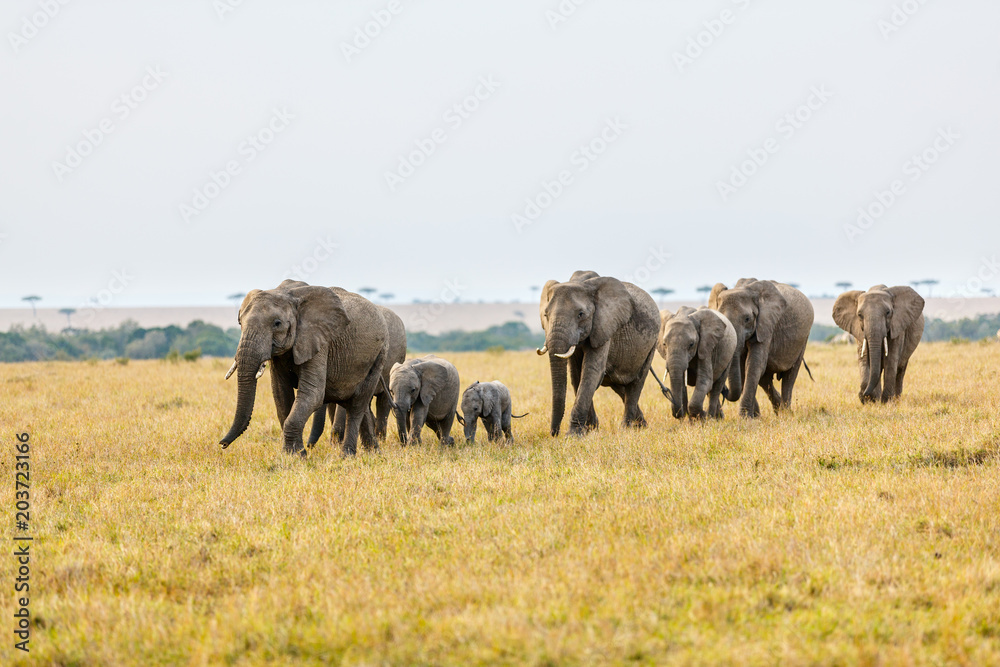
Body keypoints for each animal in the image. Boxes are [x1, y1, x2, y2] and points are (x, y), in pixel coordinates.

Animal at [219, 280, 388, 457]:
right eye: (240, 322)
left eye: (277, 323)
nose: (222, 444)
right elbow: (280, 395)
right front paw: (295, 453)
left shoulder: (319, 341)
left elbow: (313, 393)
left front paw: (295, 456)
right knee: (361, 404)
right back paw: (373, 453)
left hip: (380, 353)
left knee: (357, 405)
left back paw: (347, 455)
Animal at [537, 270, 660, 436]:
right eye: (546, 315)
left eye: (580, 314)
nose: (554, 433)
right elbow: (577, 375)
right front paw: (590, 429)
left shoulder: (604, 326)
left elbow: (591, 371)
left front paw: (574, 435)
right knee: (619, 386)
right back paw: (641, 426)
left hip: (651, 345)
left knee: (636, 383)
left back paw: (626, 428)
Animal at [709, 279, 814, 418]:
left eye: (747, 319)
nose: (724, 390)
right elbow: (744, 367)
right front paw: (753, 417)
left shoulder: (766, 326)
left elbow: (753, 364)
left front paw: (745, 417)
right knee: (765, 379)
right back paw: (777, 409)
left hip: (803, 339)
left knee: (790, 375)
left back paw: (785, 413)